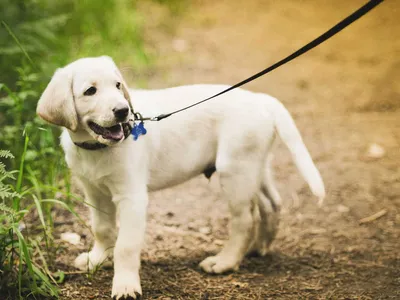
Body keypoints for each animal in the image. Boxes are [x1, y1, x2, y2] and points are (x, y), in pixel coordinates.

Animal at [36, 56, 324, 300]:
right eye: (90, 91)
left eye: (117, 85)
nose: (123, 110)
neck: (96, 149)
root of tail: (261, 100)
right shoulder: (94, 191)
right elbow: (102, 229)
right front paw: (97, 259)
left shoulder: (132, 197)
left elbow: (126, 245)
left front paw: (125, 286)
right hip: (254, 166)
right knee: (271, 203)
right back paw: (258, 247)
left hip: (235, 170)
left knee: (245, 219)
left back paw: (225, 262)